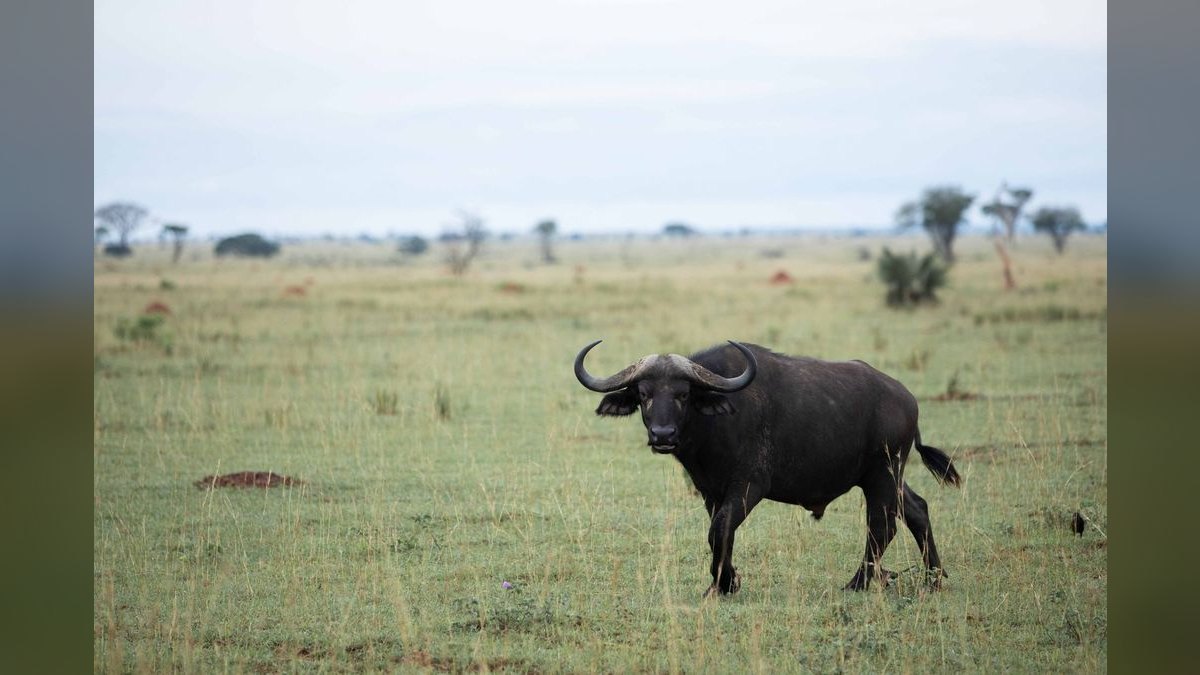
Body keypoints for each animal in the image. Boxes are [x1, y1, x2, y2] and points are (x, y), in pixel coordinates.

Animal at [574, 340, 961, 596]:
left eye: (683, 394)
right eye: (644, 394)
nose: (663, 435)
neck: (713, 425)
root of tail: (906, 398)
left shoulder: (749, 486)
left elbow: (719, 530)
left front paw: (723, 584)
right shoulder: (711, 491)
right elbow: (720, 532)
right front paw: (726, 582)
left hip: (883, 474)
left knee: (882, 525)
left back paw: (857, 583)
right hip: (886, 477)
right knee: (917, 510)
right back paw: (934, 578)